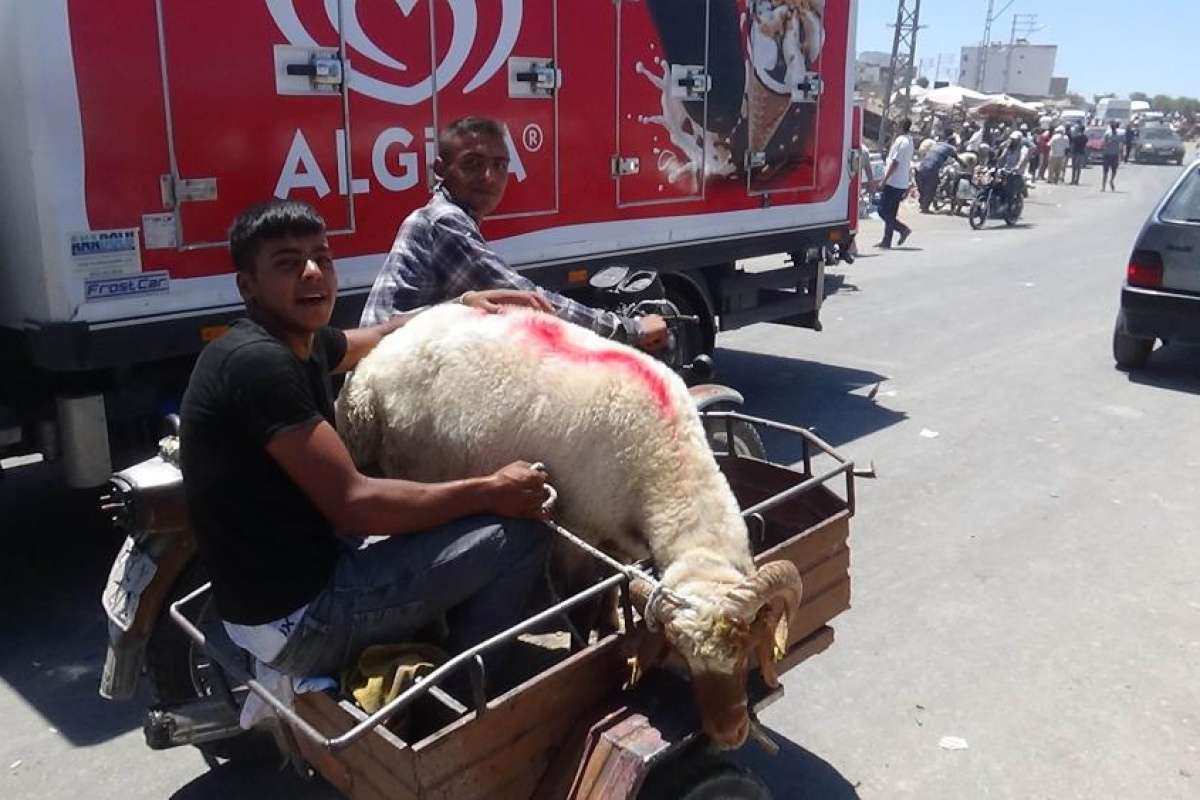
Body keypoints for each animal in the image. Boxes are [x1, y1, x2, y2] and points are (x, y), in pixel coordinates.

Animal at [338, 307, 801, 753]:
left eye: (743, 649)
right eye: (682, 656)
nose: (729, 735)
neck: (667, 461)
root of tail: (368, 368)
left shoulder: (618, 538)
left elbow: (610, 591)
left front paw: (612, 625)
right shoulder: (578, 530)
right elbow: (581, 603)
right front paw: (584, 655)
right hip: (413, 470)